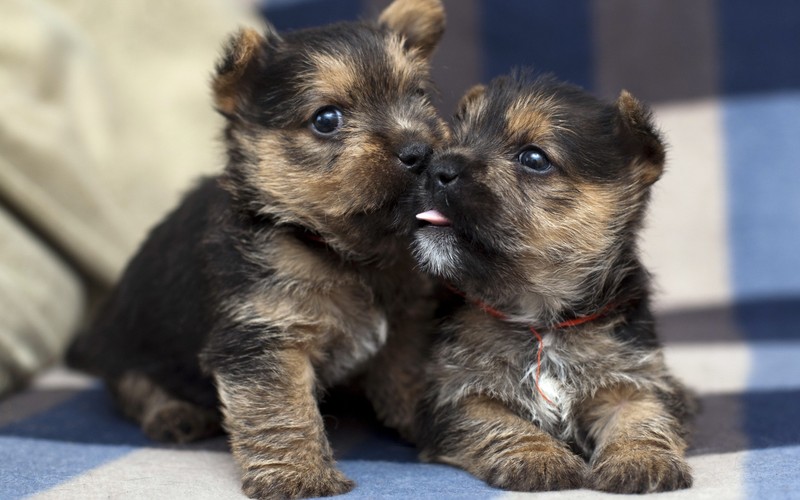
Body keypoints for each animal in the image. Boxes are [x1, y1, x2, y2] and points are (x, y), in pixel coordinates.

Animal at [65, 1, 446, 498]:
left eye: (419, 96)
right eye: (326, 120)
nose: (420, 150)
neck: (334, 247)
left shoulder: (404, 324)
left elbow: (406, 376)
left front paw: (431, 426)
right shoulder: (264, 336)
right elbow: (281, 409)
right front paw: (299, 476)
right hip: (130, 340)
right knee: (134, 385)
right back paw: (174, 413)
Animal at [412, 74, 692, 492]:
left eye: (534, 159)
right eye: (454, 141)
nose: (437, 167)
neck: (540, 319)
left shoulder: (630, 378)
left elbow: (642, 413)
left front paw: (641, 458)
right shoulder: (455, 393)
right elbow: (495, 420)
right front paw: (539, 456)